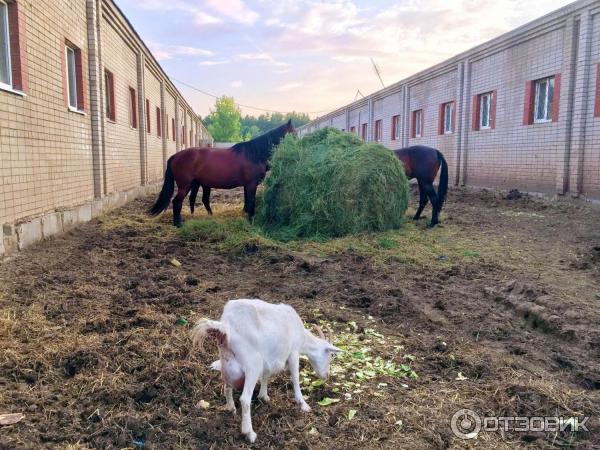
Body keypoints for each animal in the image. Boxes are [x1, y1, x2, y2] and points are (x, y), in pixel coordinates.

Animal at [148, 119, 292, 227]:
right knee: (177, 202)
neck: (254, 154)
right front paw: (251, 219)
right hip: (185, 186)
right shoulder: (252, 184)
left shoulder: (247, 185)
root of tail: (175, 156)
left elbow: (247, 200)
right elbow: (251, 201)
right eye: (293, 133)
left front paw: (246, 214)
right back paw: (178, 224)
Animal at [193, 298, 340, 442]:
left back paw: (231, 408)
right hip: (253, 365)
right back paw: (249, 433)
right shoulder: (293, 353)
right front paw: (303, 404)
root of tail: (226, 327)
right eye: (330, 355)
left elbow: (266, 376)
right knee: (245, 399)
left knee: (226, 388)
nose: (326, 375)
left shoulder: (269, 359)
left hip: (228, 366)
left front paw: (263, 396)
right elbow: (295, 377)